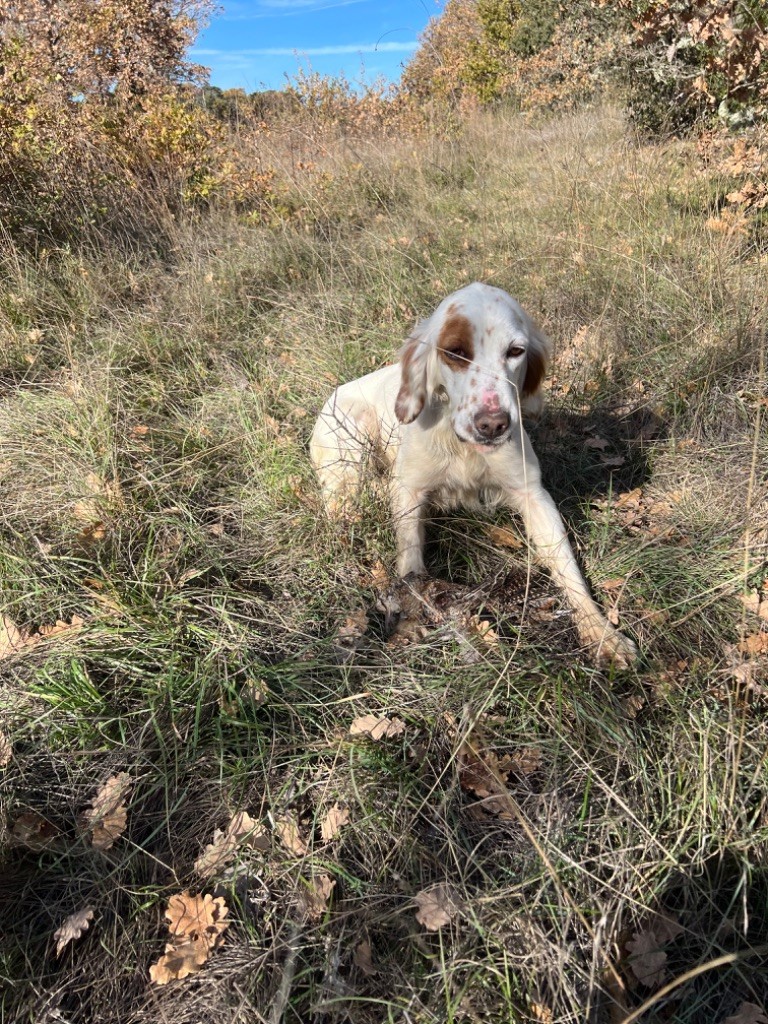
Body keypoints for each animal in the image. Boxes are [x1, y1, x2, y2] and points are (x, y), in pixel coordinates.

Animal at [309, 282, 638, 663]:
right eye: (455, 352)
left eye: (515, 351)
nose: (493, 424)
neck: (463, 447)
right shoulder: (409, 491)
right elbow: (410, 564)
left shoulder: (534, 495)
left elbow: (569, 570)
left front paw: (602, 634)